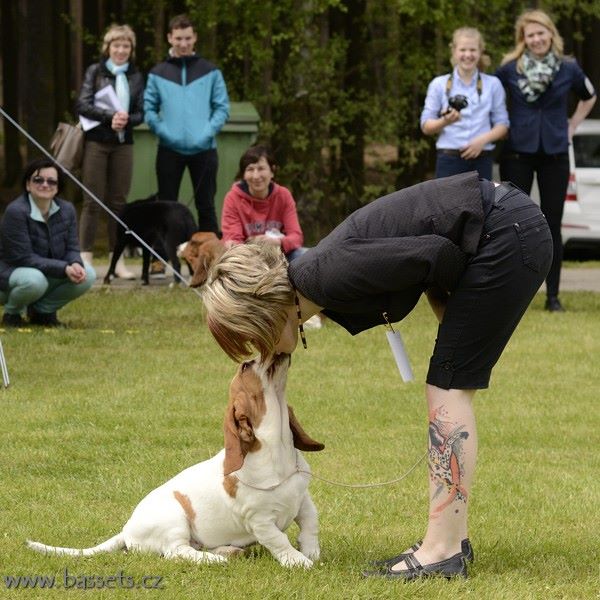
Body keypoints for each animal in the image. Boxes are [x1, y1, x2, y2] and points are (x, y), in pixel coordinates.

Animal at [27, 354, 326, 568]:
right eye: (245, 367)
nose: (265, 353)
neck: (277, 450)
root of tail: (126, 531)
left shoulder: (304, 500)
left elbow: (311, 524)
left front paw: (312, 552)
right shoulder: (260, 520)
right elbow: (278, 539)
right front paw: (298, 561)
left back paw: (228, 551)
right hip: (174, 518)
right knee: (176, 552)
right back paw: (215, 559)